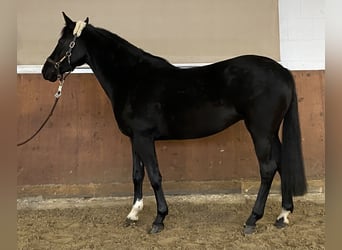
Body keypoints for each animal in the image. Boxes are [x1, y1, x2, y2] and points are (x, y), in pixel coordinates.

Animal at [41, 12, 306, 233]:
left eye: (63, 43)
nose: (47, 72)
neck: (133, 79)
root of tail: (283, 71)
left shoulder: (144, 138)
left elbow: (155, 176)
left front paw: (159, 219)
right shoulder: (134, 138)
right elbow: (137, 174)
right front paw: (133, 213)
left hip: (260, 132)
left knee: (268, 169)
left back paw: (252, 219)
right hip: (271, 133)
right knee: (282, 164)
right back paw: (282, 215)